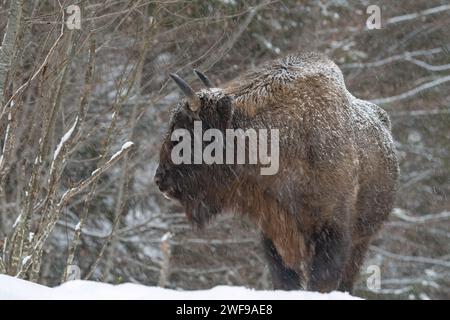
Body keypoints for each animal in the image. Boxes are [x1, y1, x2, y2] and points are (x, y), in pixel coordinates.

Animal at [154, 52, 398, 292]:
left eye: (185, 131)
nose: (159, 178)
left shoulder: (333, 232)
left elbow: (321, 281)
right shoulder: (273, 232)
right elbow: (284, 279)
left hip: (362, 239)